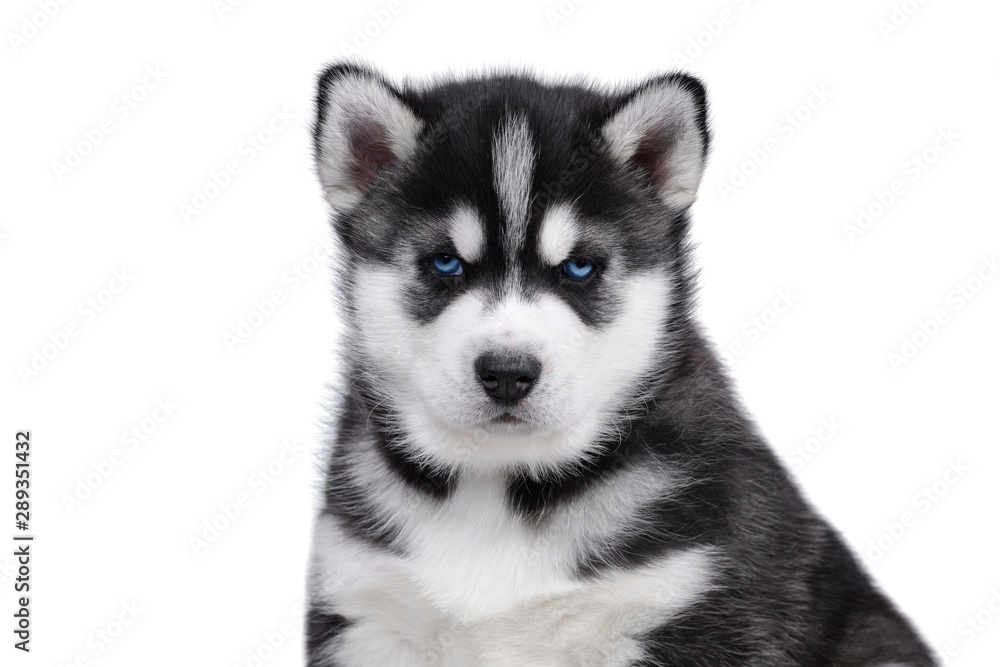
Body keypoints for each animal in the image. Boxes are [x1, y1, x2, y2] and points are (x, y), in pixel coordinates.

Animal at [306, 64, 936, 667]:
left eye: (579, 268)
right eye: (444, 263)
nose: (508, 372)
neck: (501, 488)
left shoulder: (690, 599)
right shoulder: (365, 610)